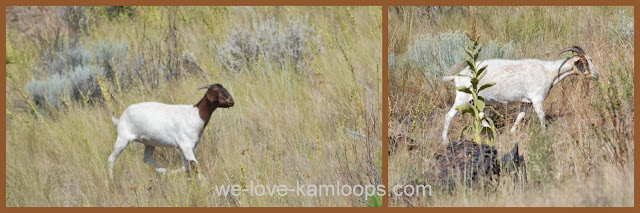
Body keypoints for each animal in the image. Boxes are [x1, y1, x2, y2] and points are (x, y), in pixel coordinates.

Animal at [107, 83, 235, 178]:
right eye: (216, 92)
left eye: (224, 89)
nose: (231, 101)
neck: (195, 115)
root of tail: (120, 118)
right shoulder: (187, 146)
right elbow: (194, 164)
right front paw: (204, 183)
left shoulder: (186, 148)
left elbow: (187, 165)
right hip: (123, 138)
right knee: (111, 159)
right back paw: (111, 181)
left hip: (149, 142)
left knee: (147, 159)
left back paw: (167, 172)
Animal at [442, 46, 596, 143]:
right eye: (585, 62)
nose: (596, 76)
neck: (548, 71)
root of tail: (457, 76)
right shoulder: (536, 98)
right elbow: (541, 116)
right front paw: (544, 135)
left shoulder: (526, 101)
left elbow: (520, 116)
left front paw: (511, 132)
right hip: (462, 97)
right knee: (448, 116)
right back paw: (445, 140)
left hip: (477, 100)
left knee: (480, 114)